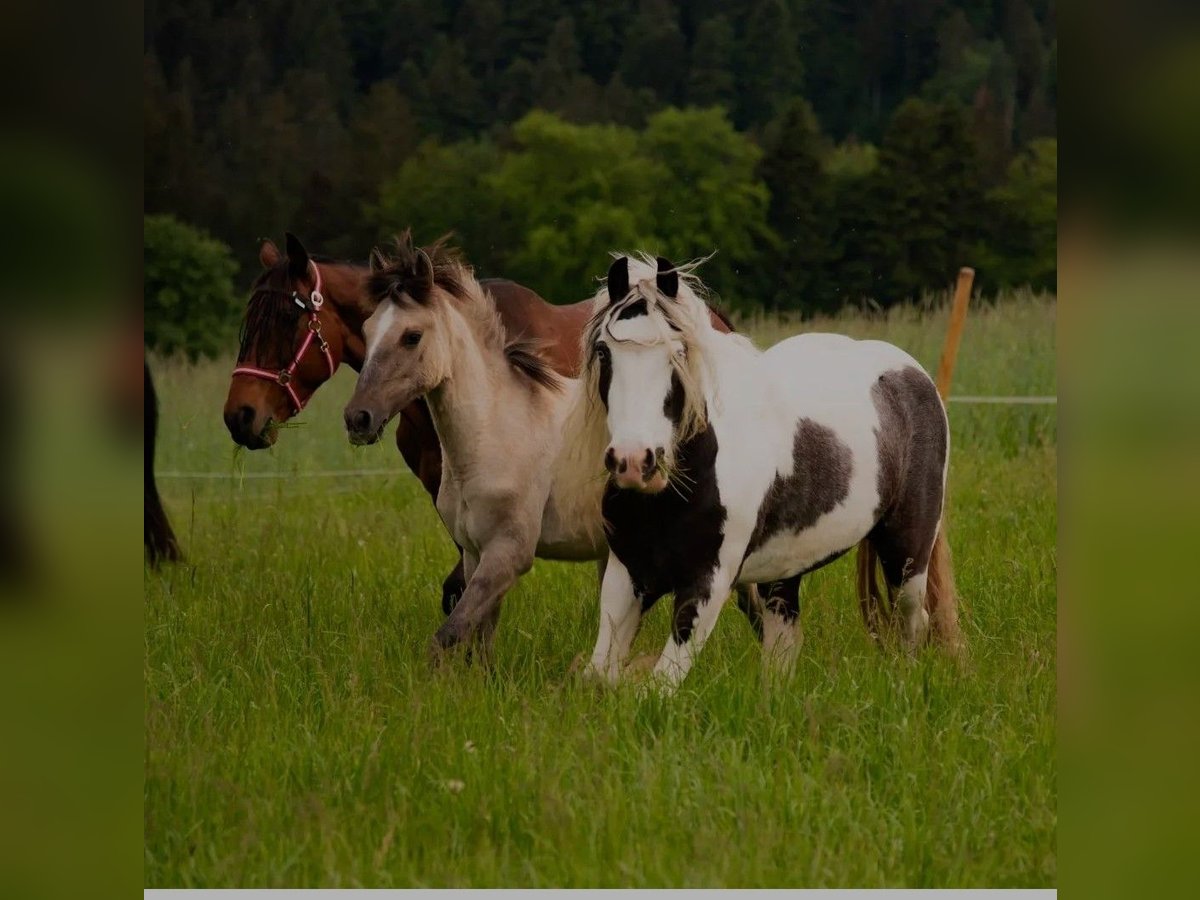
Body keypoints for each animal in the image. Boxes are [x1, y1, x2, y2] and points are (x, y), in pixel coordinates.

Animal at [564, 256, 964, 696]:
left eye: (679, 352)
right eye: (604, 352)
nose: (634, 461)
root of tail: (913, 374)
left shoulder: (707, 583)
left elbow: (660, 686)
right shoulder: (627, 574)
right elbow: (599, 675)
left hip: (907, 553)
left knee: (912, 625)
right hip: (785, 570)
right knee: (783, 644)